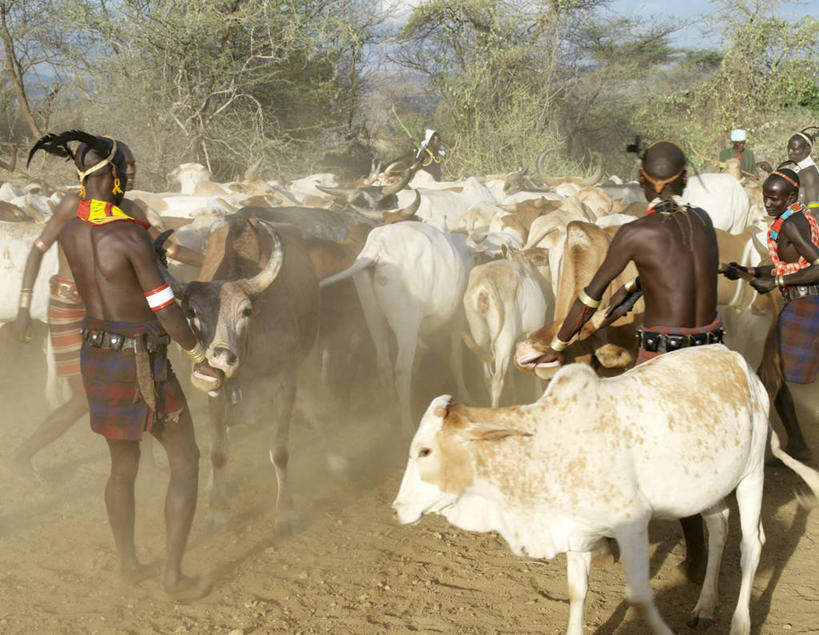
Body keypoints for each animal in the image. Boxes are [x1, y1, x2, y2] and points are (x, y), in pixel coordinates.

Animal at [320, 222, 474, 432]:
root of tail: (377, 248)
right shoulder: (457, 319)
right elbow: (456, 359)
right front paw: (465, 393)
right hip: (405, 323)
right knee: (401, 370)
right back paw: (407, 425)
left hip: (372, 316)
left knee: (384, 365)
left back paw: (390, 411)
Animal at [392, 346, 819, 635]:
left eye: (425, 450)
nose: (396, 510)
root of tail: (739, 361)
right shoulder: (576, 530)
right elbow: (576, 591)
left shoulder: (632, 525)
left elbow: (640, 597)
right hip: (708, 486)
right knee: (719, 529)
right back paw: (705, 606)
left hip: (751, 475)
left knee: (752, 545)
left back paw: (740, 621)